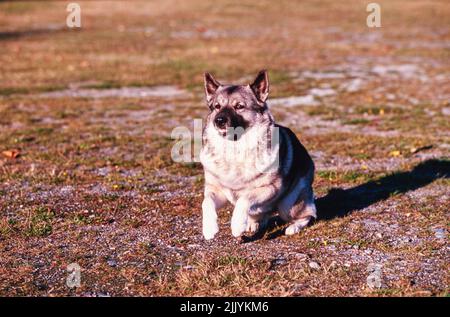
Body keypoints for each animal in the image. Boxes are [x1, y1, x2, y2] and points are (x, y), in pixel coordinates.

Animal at [200, 68, 316, 237]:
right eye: (217, 106)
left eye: (239, 106)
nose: (219, 121)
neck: (234, 148)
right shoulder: (216, 190)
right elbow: (206, 203)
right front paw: (209, 229)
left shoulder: (270, 188)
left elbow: (244, 199)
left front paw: (236, 225)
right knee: (262, 216)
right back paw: (253, 224)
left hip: (287, 205)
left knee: (309, 214)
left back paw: (293, 227)